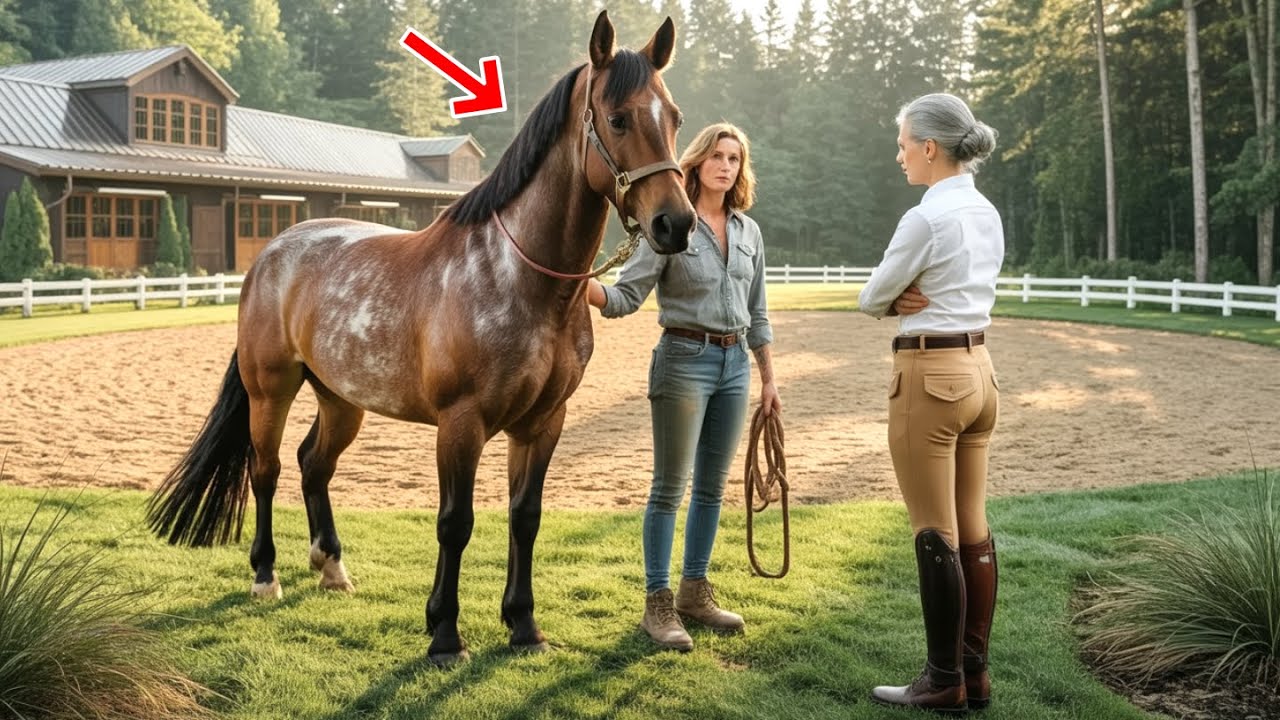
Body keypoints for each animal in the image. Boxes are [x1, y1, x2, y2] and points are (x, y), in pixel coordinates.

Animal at [146, 11, 694, 666]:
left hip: (341, 399)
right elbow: (455, 522)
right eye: (617, 118)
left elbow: (525, 518)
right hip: (269, 392)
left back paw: (331, 568)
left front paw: (524, 626)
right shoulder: (461, 423)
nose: (677, 223)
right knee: (268, 470)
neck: (523, 278)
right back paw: (265, 576)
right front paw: (445, 634)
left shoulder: (544, 422)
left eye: (674, 117)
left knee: (313, 465)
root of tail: (272, 253)